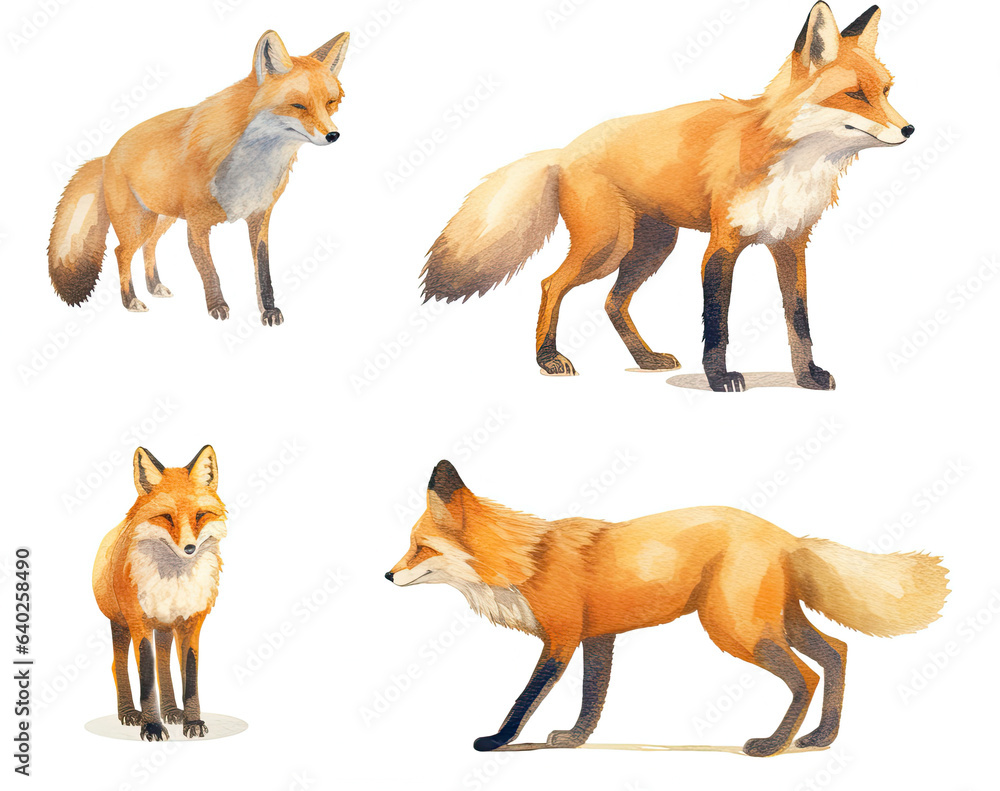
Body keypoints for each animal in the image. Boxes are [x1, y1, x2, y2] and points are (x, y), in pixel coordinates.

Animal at [49, 30, 349, 326]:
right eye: (297, 105)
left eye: (330, 103)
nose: (333, 135)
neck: (252, 169)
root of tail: (107, 155)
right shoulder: (196, 224)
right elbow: (210, 271)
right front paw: (218, 307)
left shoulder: (260, 217)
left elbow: (263, 271)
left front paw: (269, 311)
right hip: (138, 223)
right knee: (121, 252)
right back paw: (130, 300)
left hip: (162, 218)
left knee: (149, 246)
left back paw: (154, 286)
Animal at [92, 446, 227, 741]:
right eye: (166, 517)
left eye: (200, 515)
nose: (189, 548)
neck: (174, 582)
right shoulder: (138, 621)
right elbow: (145, 675)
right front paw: (152, 726)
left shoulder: (191, 622)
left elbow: (190, 676)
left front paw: (193, 722)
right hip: (120, 623)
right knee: (117, 666)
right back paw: (129, 713)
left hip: (165, 627)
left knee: (164, 665)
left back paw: (172, 711)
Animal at [387, 461, 948, 755]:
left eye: (420, 548)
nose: (387, 575)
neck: (527, 561)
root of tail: (787, 537)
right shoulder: (598, 637)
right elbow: (593, 698)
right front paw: (574, 739)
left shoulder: (561, 639)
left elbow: (524, 699)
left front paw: (498, 739)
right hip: (772, 622)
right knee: (837, 651)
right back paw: (821, 736)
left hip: (735, 628)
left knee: (806, 675)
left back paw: (772, 745)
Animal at [422, 4, 911, 391]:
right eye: (854, 95)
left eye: (886, 92)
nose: (909, 129)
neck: (793, 162)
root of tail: (564, 152)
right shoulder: (722, 245)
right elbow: (717, 322)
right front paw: (719, 379)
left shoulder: (790, 244)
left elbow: (799, 319)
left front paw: (807, 377)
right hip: (607, 245)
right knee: (551, 284)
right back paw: (548, 359)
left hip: (652, 247)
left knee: (612, 302)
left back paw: (645, 359)